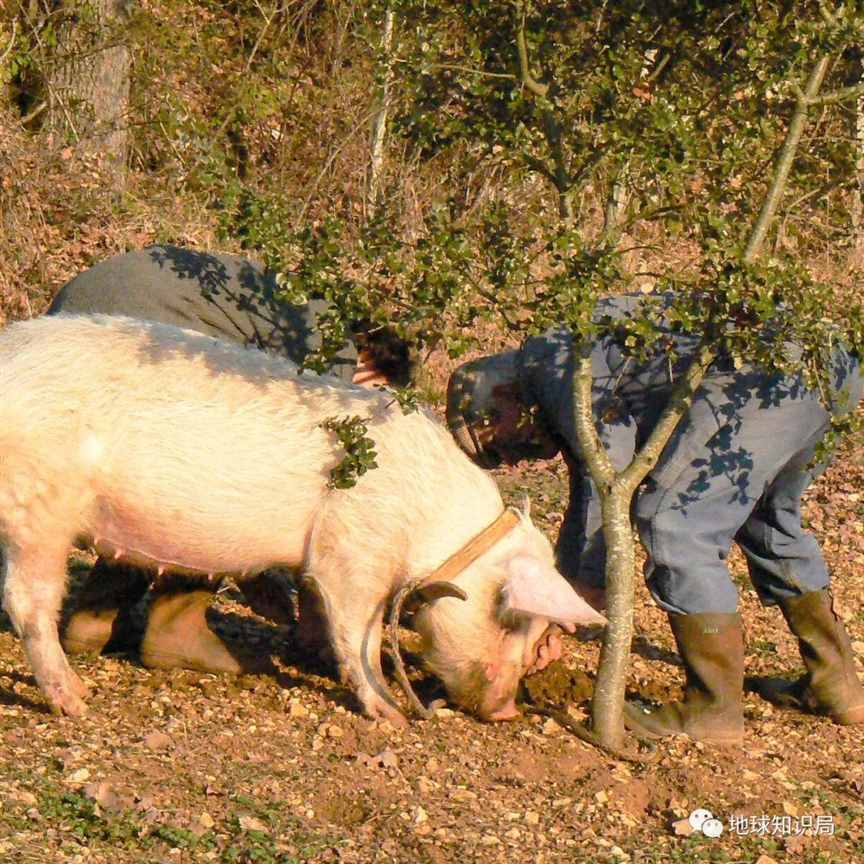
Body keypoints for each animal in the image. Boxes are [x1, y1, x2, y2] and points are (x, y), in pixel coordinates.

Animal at [0, 316, 604, 724]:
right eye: (510, 618)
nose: (506, 711)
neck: (434, 528)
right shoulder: (356, 549)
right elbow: (359, 630)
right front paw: (390, 715)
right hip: (40, 504)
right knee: (28, 600)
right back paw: (77, 701)